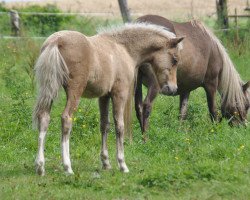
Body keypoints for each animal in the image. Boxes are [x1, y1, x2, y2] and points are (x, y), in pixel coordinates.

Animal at [32, 23, 184, 175]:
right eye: (175, 60)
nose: (173, 89)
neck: (124, 48)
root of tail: (56, 40)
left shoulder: (104, 96)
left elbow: (104, 125)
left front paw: (106, 162)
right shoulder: (119, 93)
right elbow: (119, 126)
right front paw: (122, 164)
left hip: (50, 88)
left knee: (44, 117)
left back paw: (40, 166)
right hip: (75, 90)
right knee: (66, 118)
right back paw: (67, 167)